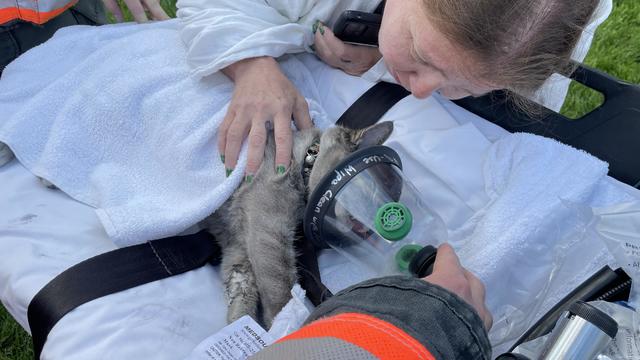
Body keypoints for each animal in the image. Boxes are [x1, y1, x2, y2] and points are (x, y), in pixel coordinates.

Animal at [204, 121, 396, 326]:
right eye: (368, 186)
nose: (365, 228)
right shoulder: (267, 229)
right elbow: (281, 291)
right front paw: (285, 323)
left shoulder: (238, 249)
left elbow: (241, 298)